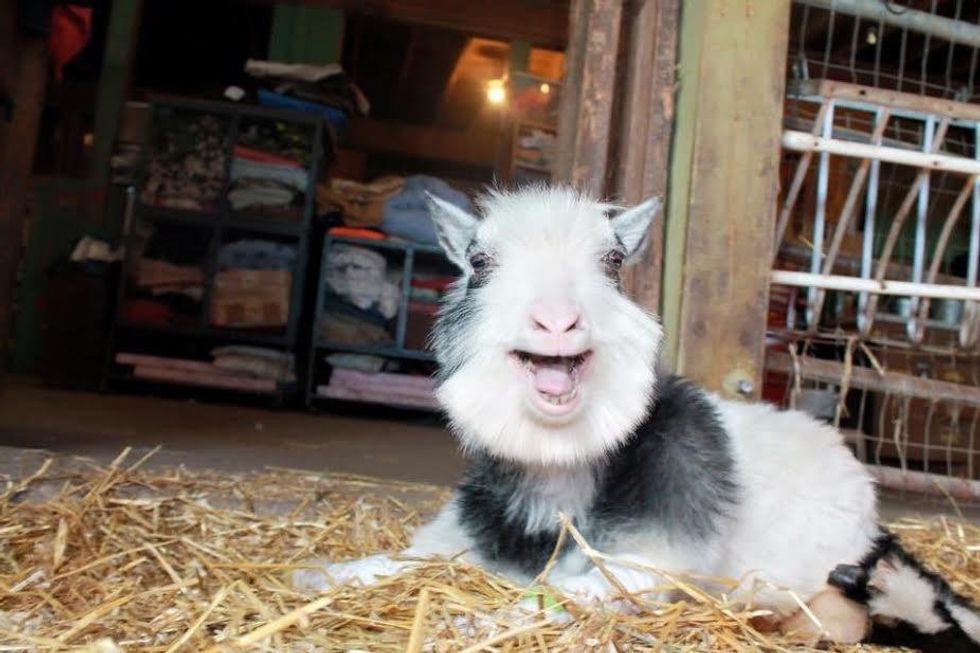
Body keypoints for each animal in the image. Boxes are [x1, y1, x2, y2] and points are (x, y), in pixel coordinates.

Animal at [295, 186, 974, 649]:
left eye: (614, 262)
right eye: (479, 262)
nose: (557, 320)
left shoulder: (645, 565)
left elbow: (555, 599)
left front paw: (469, 622)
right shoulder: (455, 537)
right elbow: (393, 563)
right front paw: (317, 575)